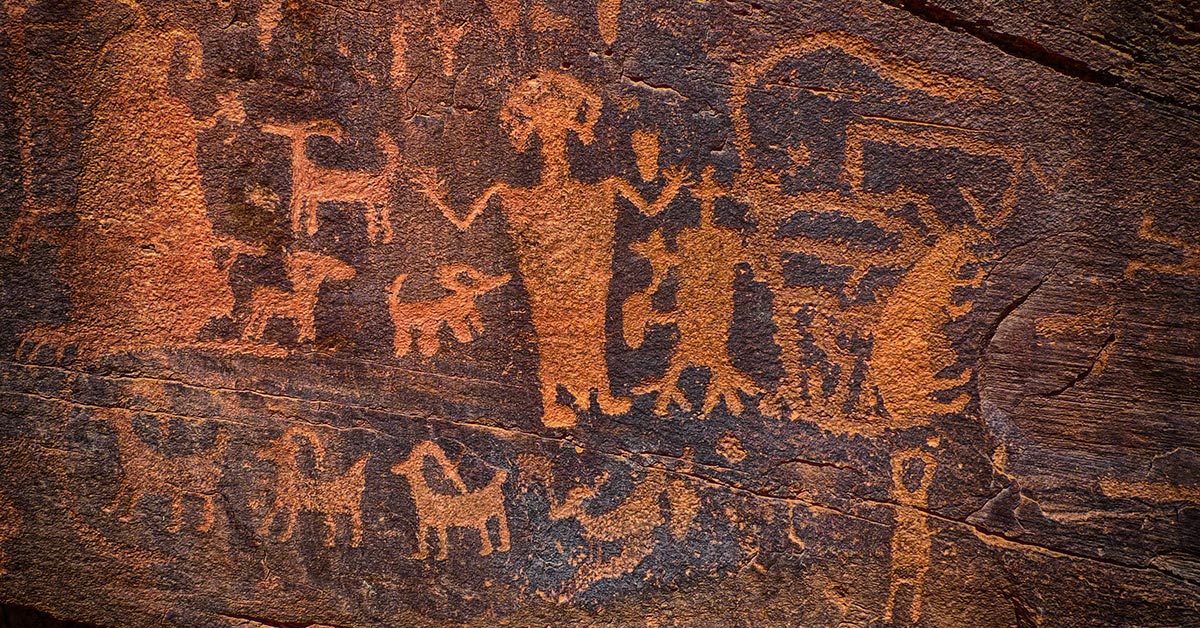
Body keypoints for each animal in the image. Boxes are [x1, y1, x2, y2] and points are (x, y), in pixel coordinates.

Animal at [261, 120, 400, 243]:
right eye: (291, 132)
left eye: (300, 134)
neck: (304, 169)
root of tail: (383, 174)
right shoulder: (309, 196)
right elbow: (305, 212)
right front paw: (306, 231)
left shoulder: (309, 194)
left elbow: (303, 213)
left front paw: (304, 231)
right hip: (375, 202)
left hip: (376, 200)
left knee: (379, 219)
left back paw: (380, 239)